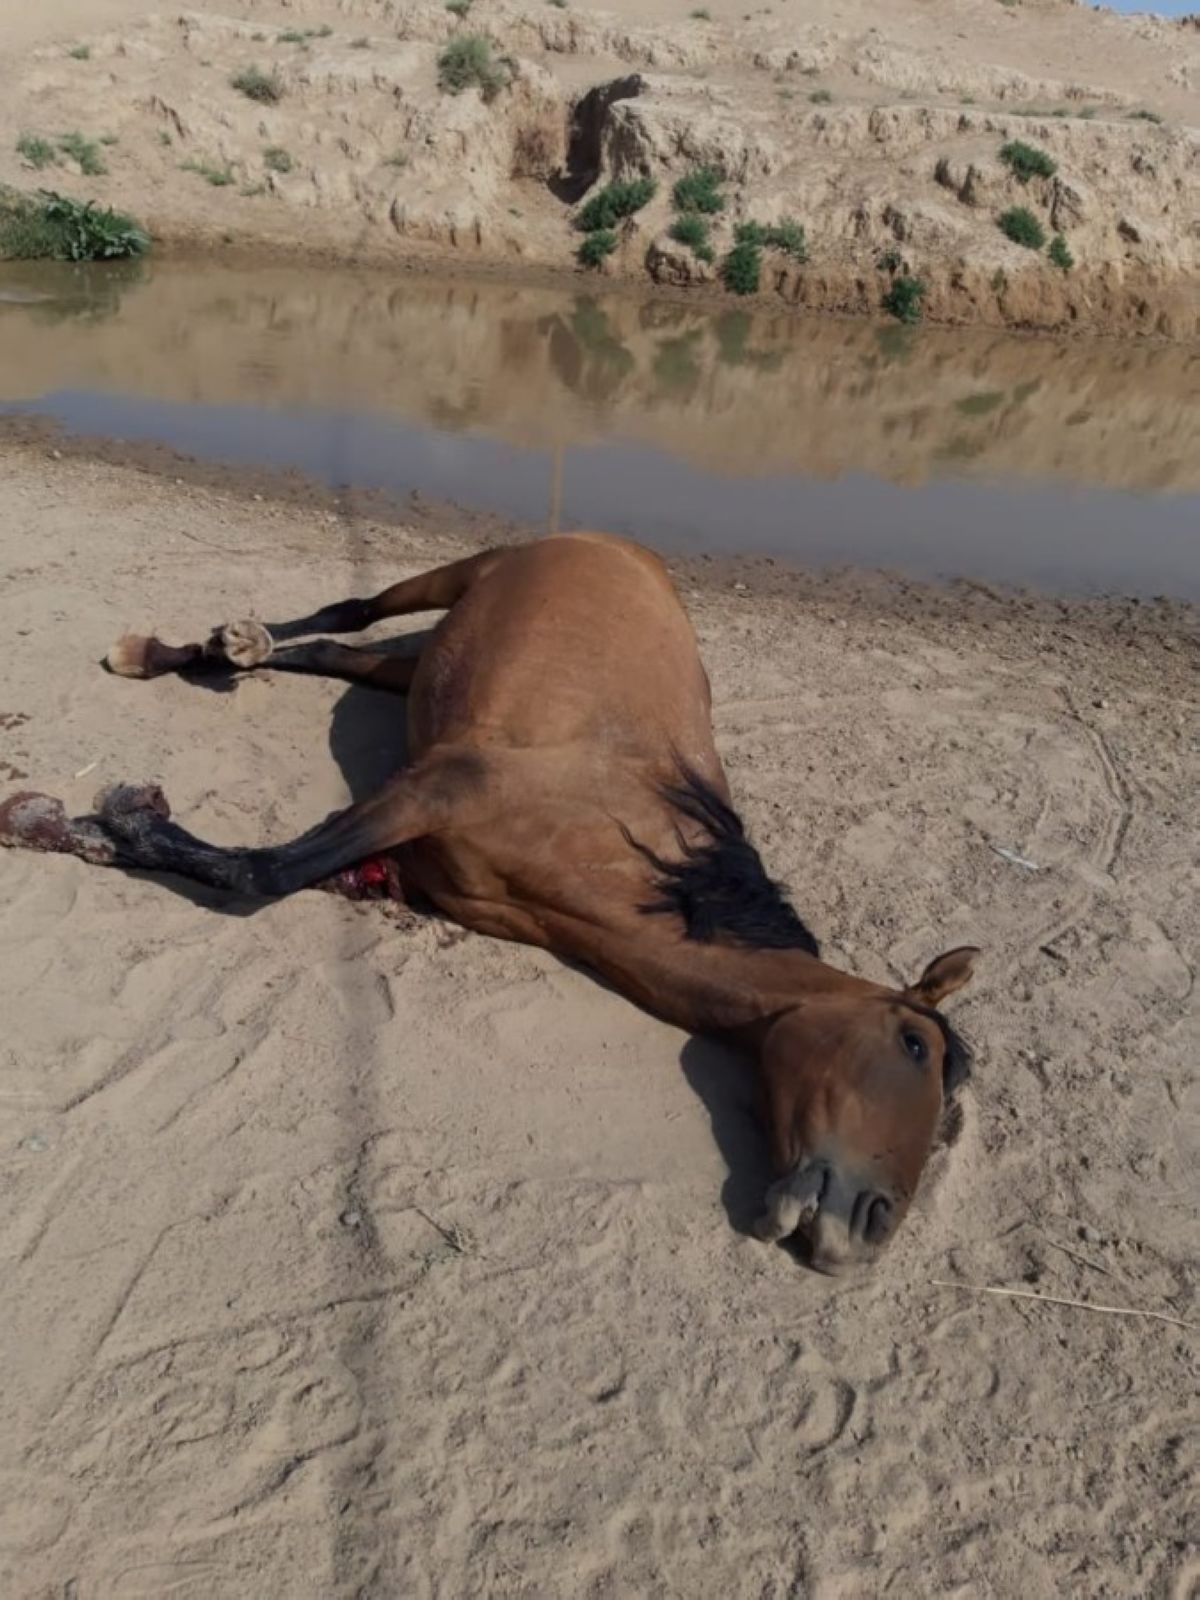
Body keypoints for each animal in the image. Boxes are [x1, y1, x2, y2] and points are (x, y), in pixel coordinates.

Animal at [0, 537, 979, 1273]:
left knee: (338, 655)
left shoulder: (409, 860)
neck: (626, 855)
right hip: (457, 576)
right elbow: (262, 876)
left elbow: (272, 870)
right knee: (352, 611)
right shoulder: (433, 789)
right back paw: (191, 649)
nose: (869, 1226)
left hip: (420, 666)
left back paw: (217, 650)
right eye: (914, 1045)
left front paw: (92, 824)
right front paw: (106, 821)